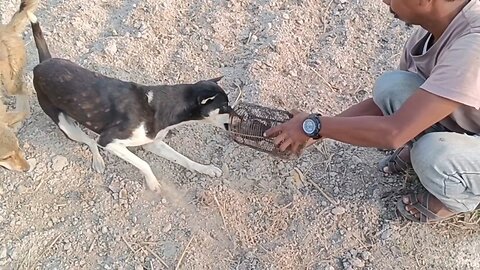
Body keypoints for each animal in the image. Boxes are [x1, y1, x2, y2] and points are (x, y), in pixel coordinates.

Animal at [28, 15, 234, 192]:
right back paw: (98, 161)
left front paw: (206, 169)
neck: (162, 105)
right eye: (224, 106)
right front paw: (153, 184)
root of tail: (42, 63)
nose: (238, 117)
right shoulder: (109, 141)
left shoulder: (153, 143)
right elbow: (144, 163)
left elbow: (183, 159)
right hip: (66, 126)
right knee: (90, 141)